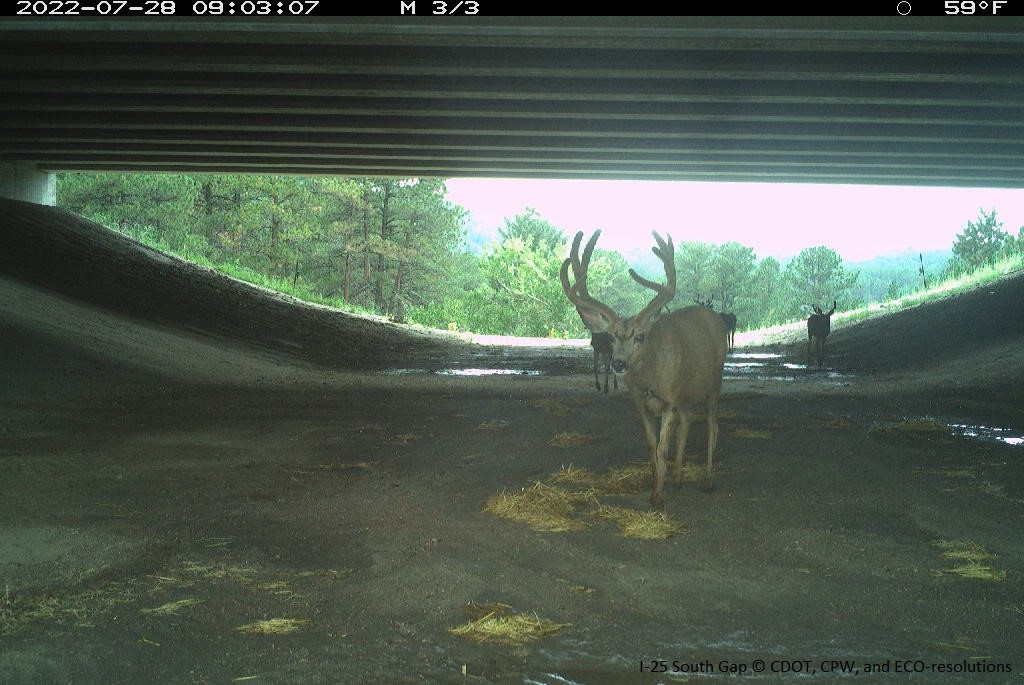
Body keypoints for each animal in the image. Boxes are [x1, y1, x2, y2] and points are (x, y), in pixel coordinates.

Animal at [561, 229, 729, 507]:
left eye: (640, 337)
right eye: (611, 337)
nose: (618, 363)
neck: (650, 378)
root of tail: (713, 315)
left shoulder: (669, 399)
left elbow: (662, 447)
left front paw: (658, 498)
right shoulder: (641, 402)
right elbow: (651, 446)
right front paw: (654, 488)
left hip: (716, 378)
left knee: (713, 424)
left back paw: (707, 480)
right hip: (686, 392)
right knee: (688, 420)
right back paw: (677, 478)